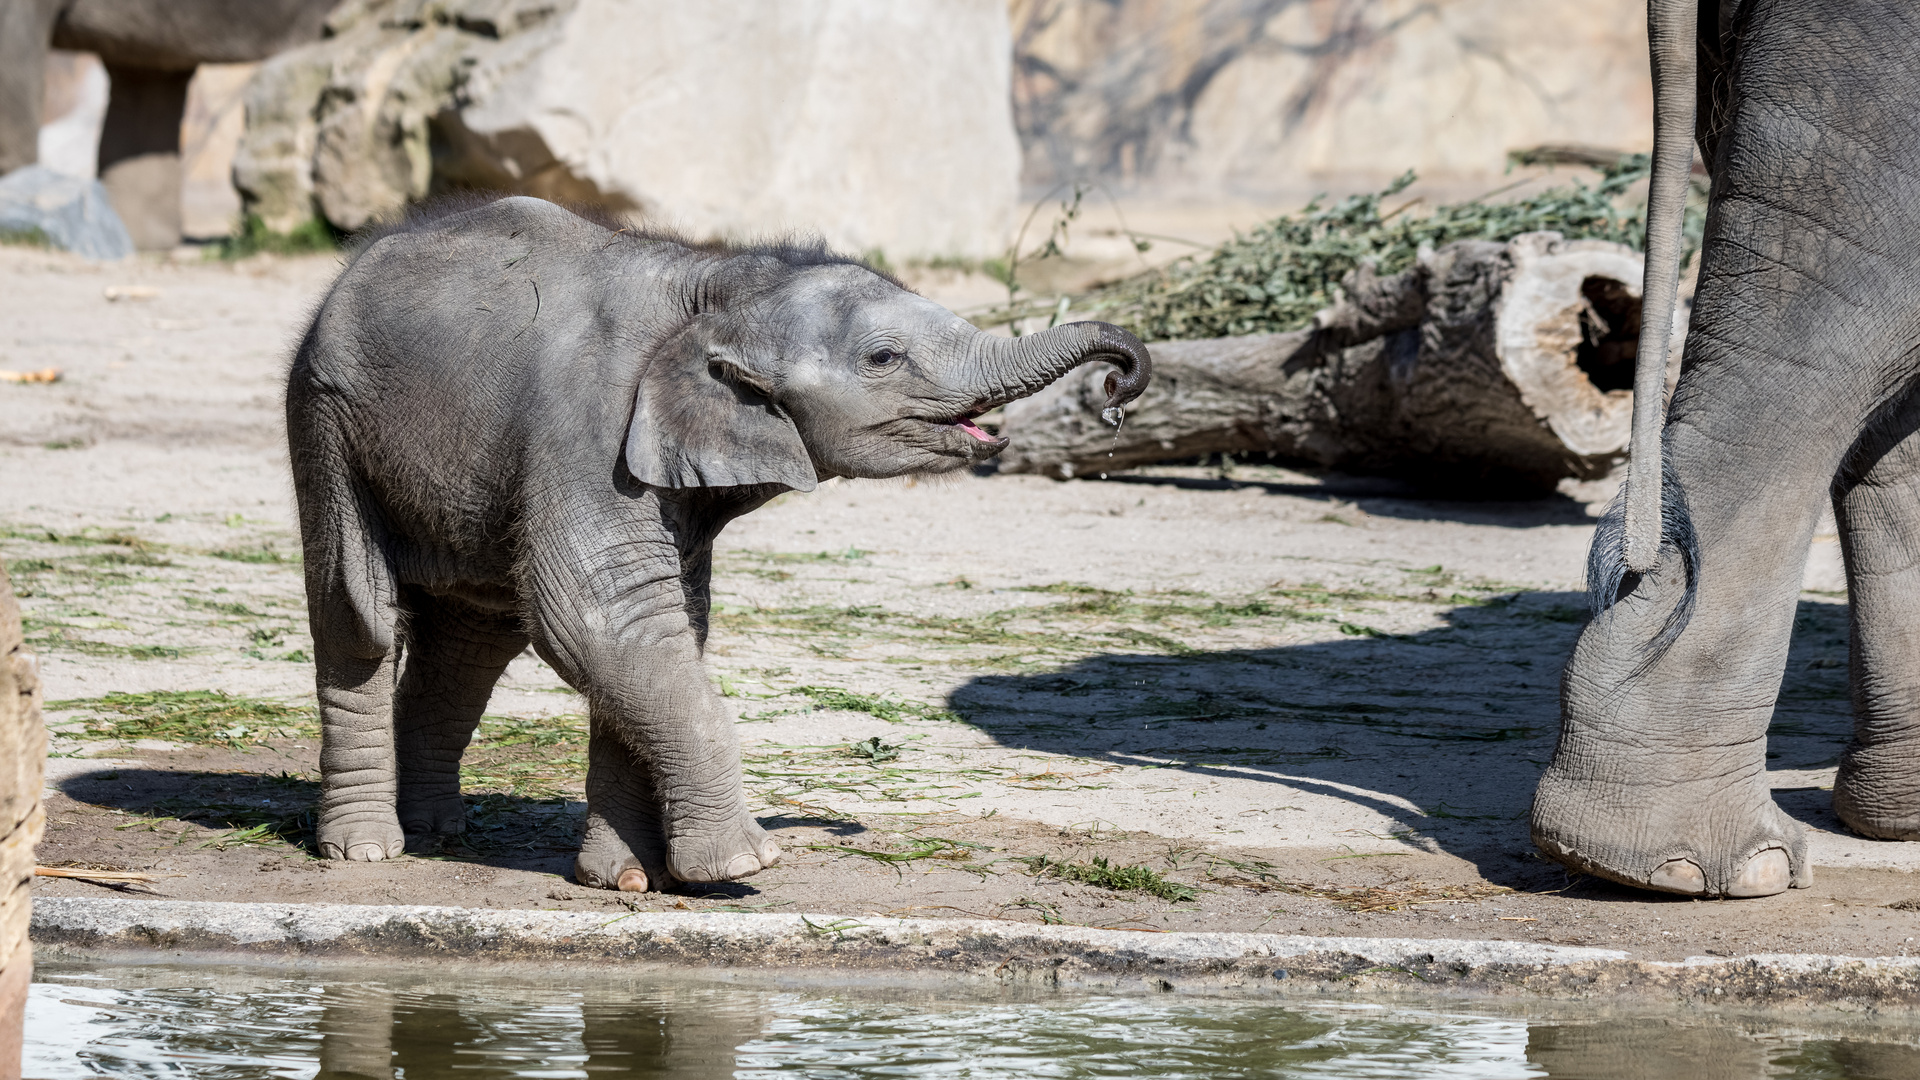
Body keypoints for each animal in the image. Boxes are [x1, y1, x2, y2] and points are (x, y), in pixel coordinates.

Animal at [288, 195, 1152, 891]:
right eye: (883, 357)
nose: (1119, 382)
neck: (713, 281)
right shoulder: (584, 433)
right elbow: (600, 624)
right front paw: (744, 864)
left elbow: (664, 630)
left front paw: (628, 881)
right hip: (324, 423)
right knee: (358, 614)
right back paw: (366, 850)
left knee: (472, 638)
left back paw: (439, 833)